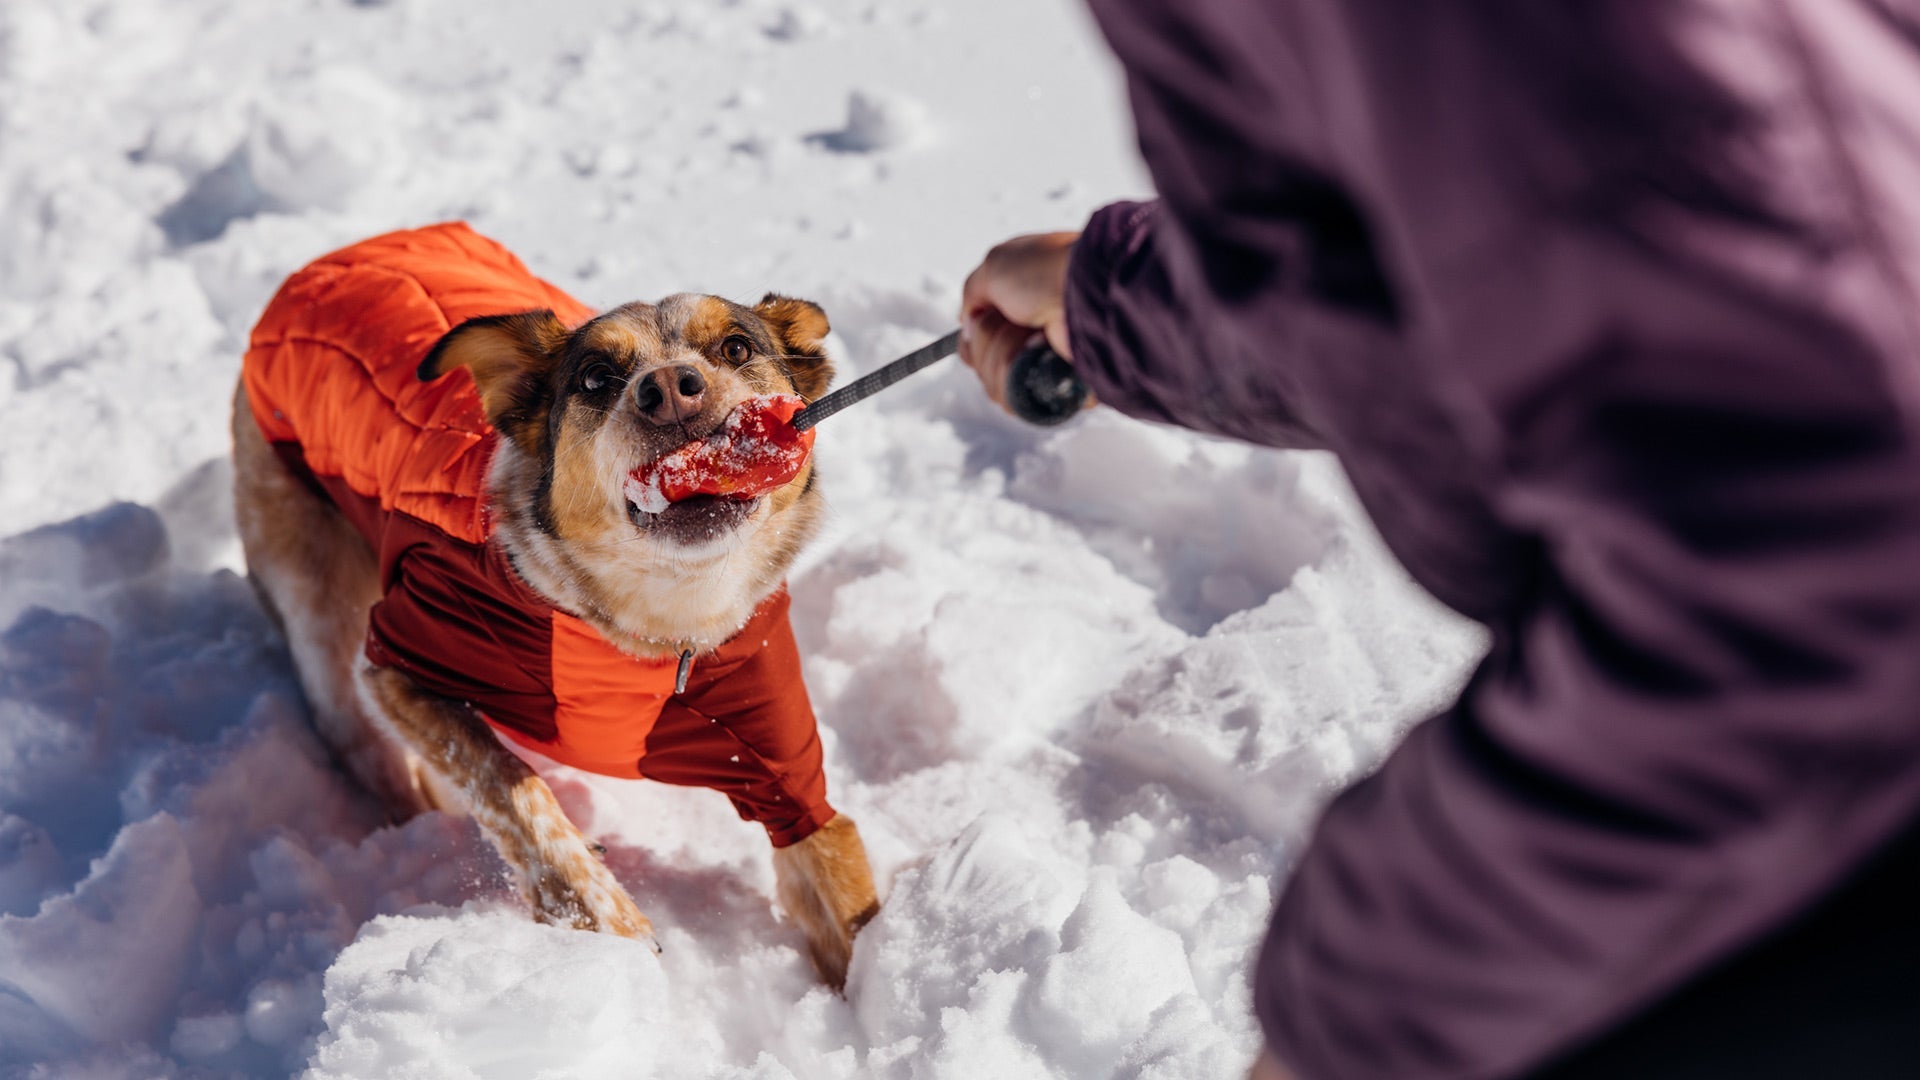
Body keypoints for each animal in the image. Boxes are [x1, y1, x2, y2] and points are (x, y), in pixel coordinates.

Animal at [230, 222, 879, 991]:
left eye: (736, 349)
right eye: (596, 377)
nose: (671, 388)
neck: (652, 632)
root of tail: (336, 256)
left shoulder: (778, 763)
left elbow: (842, 881)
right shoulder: (402, 659)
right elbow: (512, 786)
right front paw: (606, 925)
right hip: (310, 577)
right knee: (353, 733)